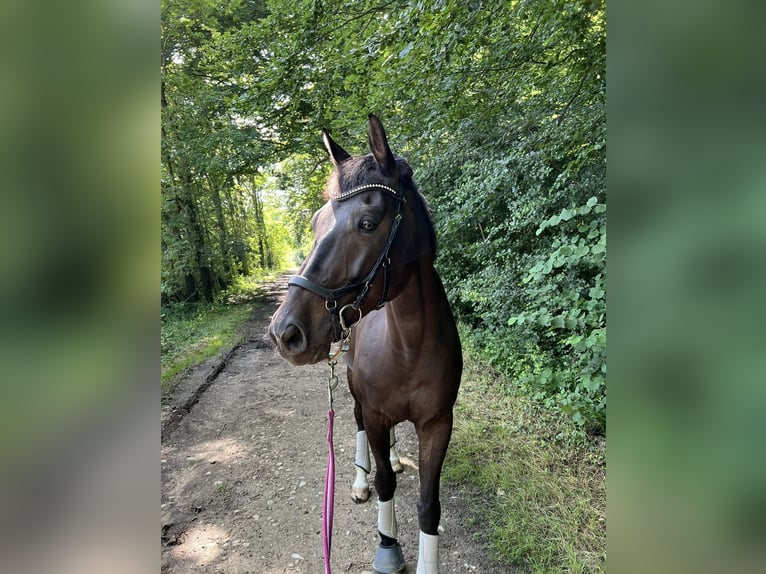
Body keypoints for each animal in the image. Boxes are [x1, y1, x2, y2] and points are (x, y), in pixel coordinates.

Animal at [270, 115, 462, 572]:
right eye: (317, 223)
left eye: (369, 223)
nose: (285, 332)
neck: (409, 343)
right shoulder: (374, 412)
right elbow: (385, 482)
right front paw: (387, 546)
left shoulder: (437, 424)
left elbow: (429, 505)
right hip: (355, 391)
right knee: (357, 427)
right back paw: (359, 480)